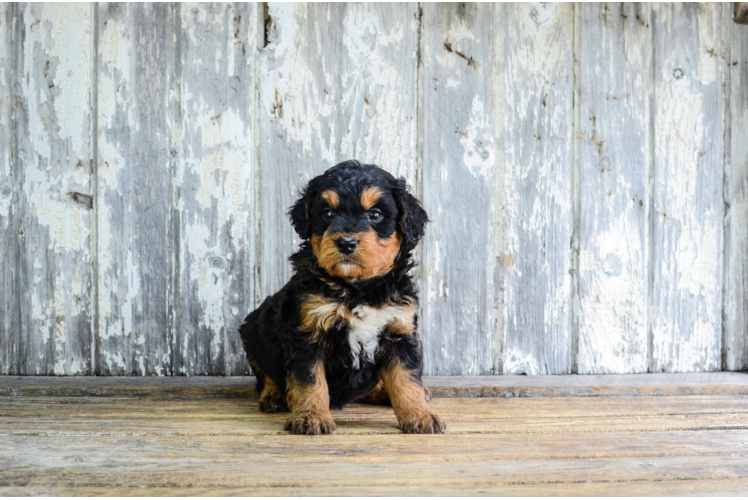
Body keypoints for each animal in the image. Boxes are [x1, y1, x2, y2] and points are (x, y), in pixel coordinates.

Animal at [238, 160, 444, 434]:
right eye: (328, 214)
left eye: (375, 215)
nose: (346, 242)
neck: (358, 289)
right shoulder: (308, 332)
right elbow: (309, 381)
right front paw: (311, 416)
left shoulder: (399, 330)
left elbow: (406, 378)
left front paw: (419, 414)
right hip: (254, 331)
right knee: (265, 372)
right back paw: (274, 395)